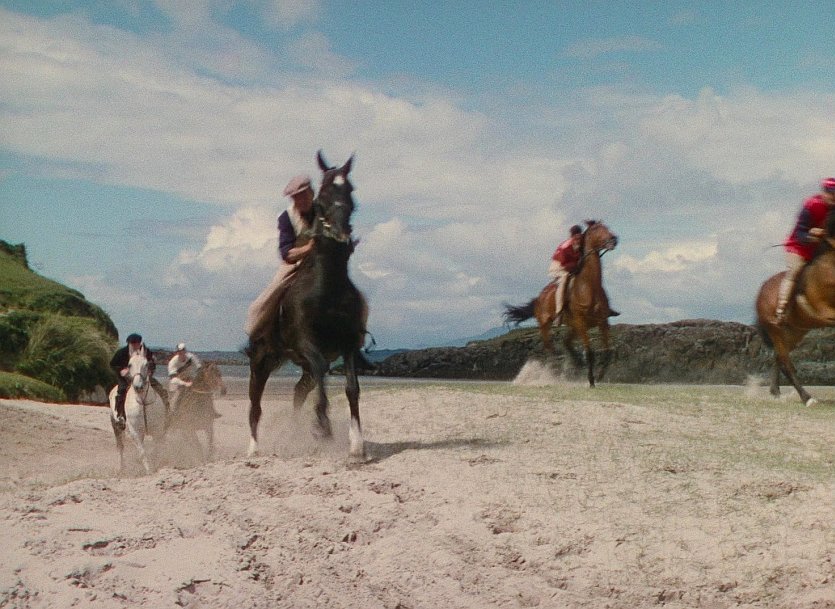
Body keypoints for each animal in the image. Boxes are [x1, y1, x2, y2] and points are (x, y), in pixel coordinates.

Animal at [246, 151, 368, 460]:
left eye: (350, 192)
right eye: (321, 197)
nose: (342, 236)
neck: (327, 288)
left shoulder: (349, 344)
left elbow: (352, 388)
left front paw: (356, 443)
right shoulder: (306, 343)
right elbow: (323, 369)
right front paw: (322, 426)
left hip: (300, 367)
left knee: (299, 392)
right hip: (261, 361)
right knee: (255, 404)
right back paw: (253, 448)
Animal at [504, 220, 619, 387]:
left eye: (607, 228)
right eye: (598, 229)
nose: (614, 240)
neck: (589, 287)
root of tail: (538, 298)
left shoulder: (602, 321)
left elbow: (608, 350)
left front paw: (600, 375)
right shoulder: (581, 322)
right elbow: (589, 351)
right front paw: (591, 380)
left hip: (574, 327)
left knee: (566, 342)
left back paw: (577, 362)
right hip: (545, 325)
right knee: (549, 348)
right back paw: (556, 369)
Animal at [755, 213, 835, 406]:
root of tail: (760, 291)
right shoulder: (827, 313)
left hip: (794, 333)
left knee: (778, 358)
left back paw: (775, 392)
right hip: (776, 329)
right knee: (786, 362)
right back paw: (807, 398)